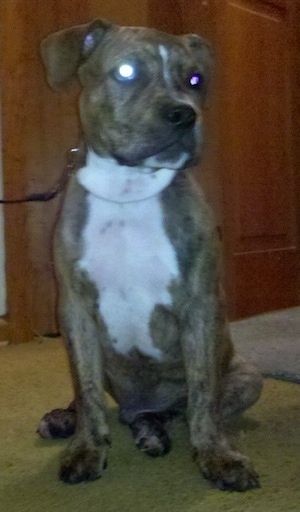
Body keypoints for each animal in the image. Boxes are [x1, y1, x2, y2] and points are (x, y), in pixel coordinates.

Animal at [37, 19, 262, 492]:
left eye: (194, 79)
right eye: (126, 72)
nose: (184, 113)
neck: (129, 191)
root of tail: (136, 407)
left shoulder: (200, 304)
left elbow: (203, 395)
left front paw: (218, 457)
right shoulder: (75, 310)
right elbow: (87, 390)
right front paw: (87, 447)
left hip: (248, 376)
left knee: (186, 408)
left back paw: (153, 430)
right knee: (94, 398)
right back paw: (69, 419)